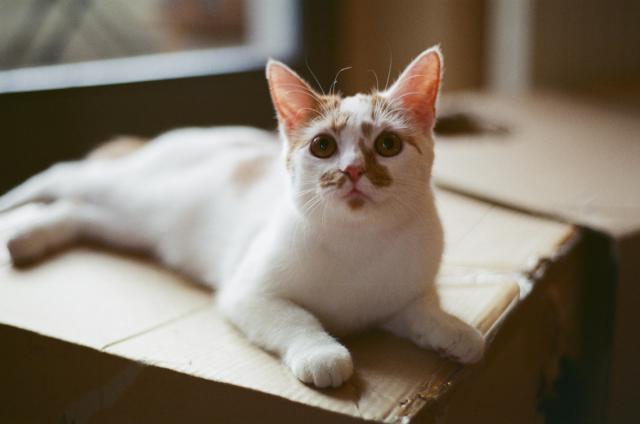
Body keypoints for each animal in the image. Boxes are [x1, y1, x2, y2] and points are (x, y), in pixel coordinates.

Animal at [0, 45, 480, 388]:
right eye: (323, 146)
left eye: (387, 146)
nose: (353, 171)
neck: (359, 243)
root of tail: (162, 138)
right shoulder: (248, 292)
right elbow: (295, 318)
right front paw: (322, 355)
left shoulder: (402, 297)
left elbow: (423, 312)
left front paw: (455, 331)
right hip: (125, 190)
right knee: (62, 175)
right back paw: (11, 213)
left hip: (131, 224)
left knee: (78, 212)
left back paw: (28, 238)